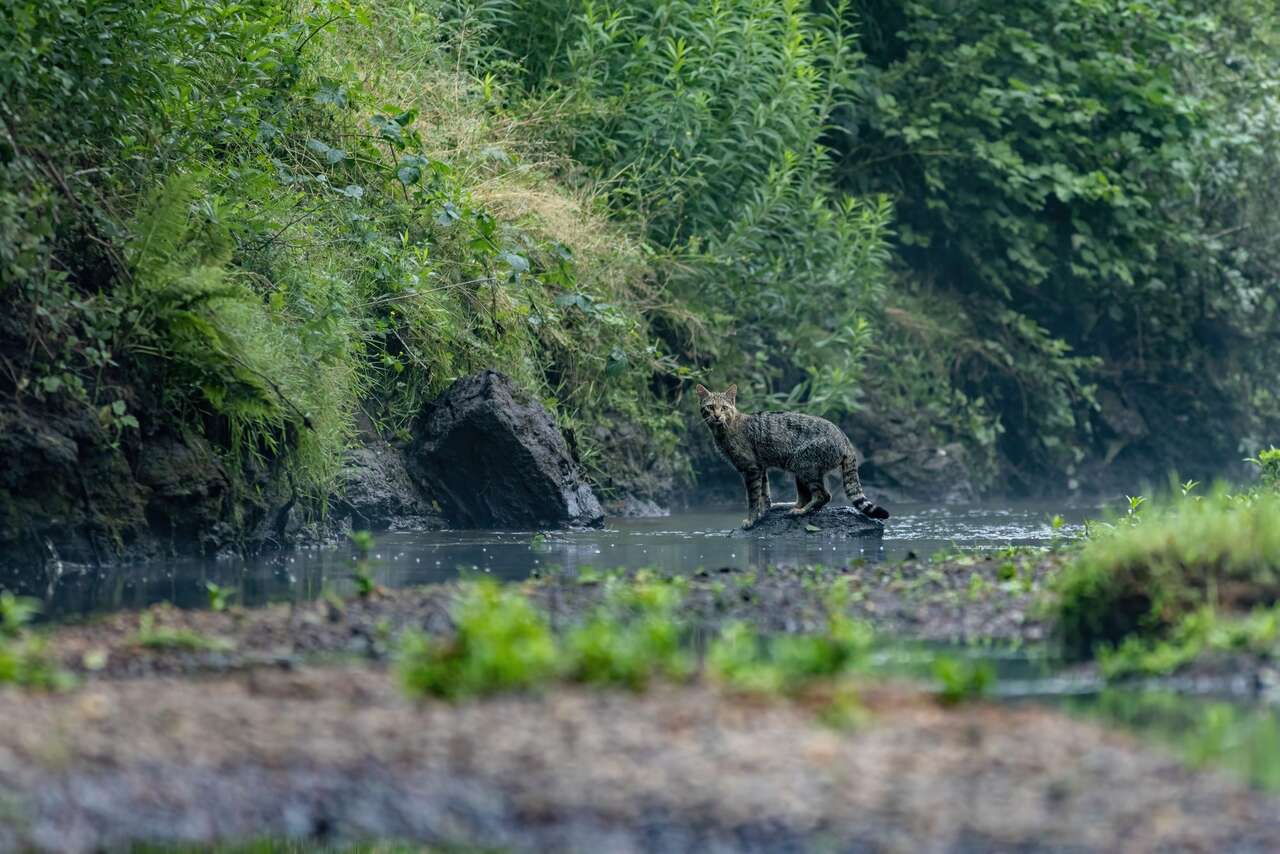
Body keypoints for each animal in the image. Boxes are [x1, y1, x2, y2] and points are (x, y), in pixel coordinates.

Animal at [701, 386, 890, 527]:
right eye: (710, 407)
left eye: (724, 408)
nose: (716, 416)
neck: (724, 429)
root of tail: (845, 439)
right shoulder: (760, 467)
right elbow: (764, 493)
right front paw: (764, 511)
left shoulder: (751, 469)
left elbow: (753, 498)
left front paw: (752, 519)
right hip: (801, 470)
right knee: (806, 496)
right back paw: (791, 505)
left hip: (804, 465)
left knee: (823, 495)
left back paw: (800, 510)